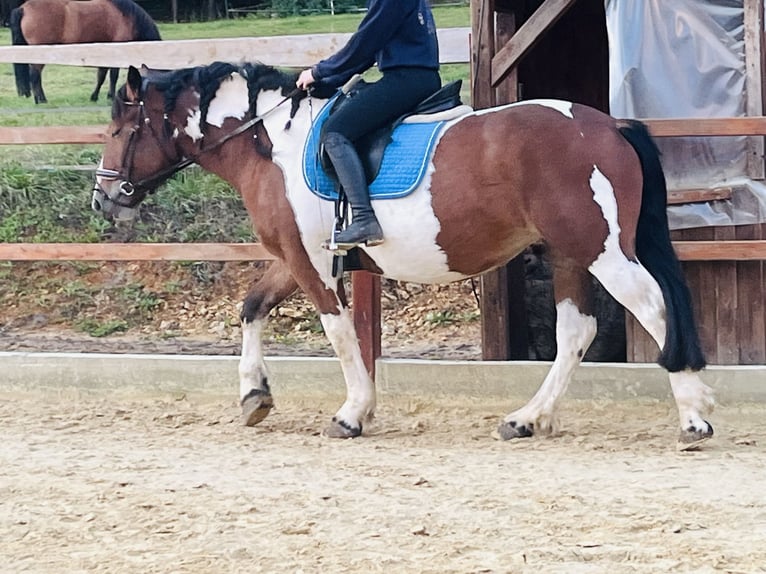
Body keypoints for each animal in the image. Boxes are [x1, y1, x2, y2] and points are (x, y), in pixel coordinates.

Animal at [10, 0, 160, 104]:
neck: (127, 17)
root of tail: (23, 8)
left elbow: (101, 76)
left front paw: (95, 97)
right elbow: (113, 76)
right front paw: (111, 97)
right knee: (35, 76)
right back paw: (41, 100)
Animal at [93, 64, 716, 450]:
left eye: (121, 130)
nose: (104, 199)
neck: (272, 145)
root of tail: (608, 124)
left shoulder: (310, 262)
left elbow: (341, 334)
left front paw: (352, 413)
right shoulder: (294, 256)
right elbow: (252, 306)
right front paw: (254, 396)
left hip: (602, 251)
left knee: (656, 310)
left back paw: (693, 417)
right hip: (567, 255)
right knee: (576, 333)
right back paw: (527, 419)